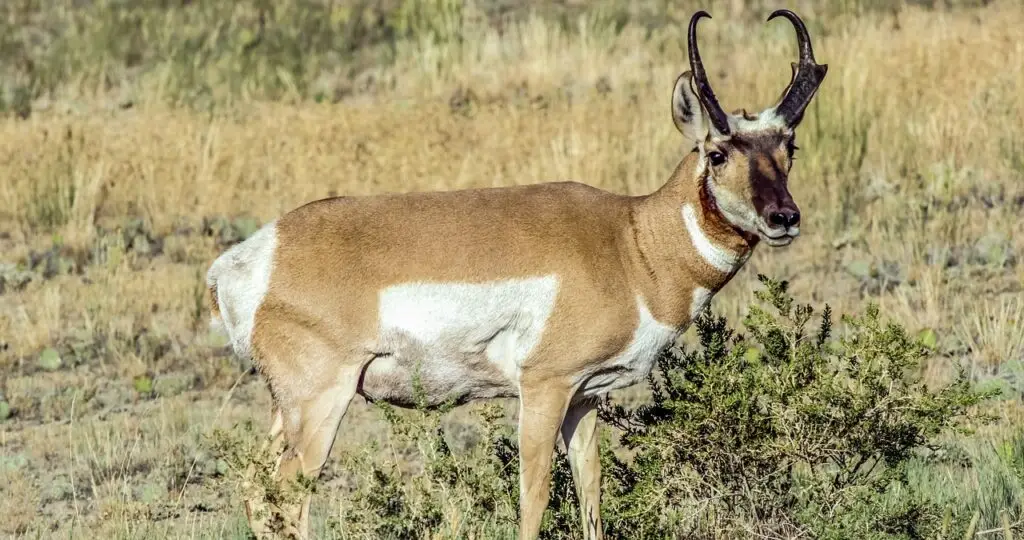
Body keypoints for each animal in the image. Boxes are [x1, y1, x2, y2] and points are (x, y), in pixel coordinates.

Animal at [206, 9, 827, 540]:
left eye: (790, 147)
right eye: (718, 153)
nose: (784, 218)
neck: (630, 242)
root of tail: (250, 258)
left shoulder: (585, 398)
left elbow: (590, 492)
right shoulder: (543, 388)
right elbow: (534, 499)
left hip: (288, 409)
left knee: (257, 488)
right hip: (322, 402)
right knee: (287, 493)